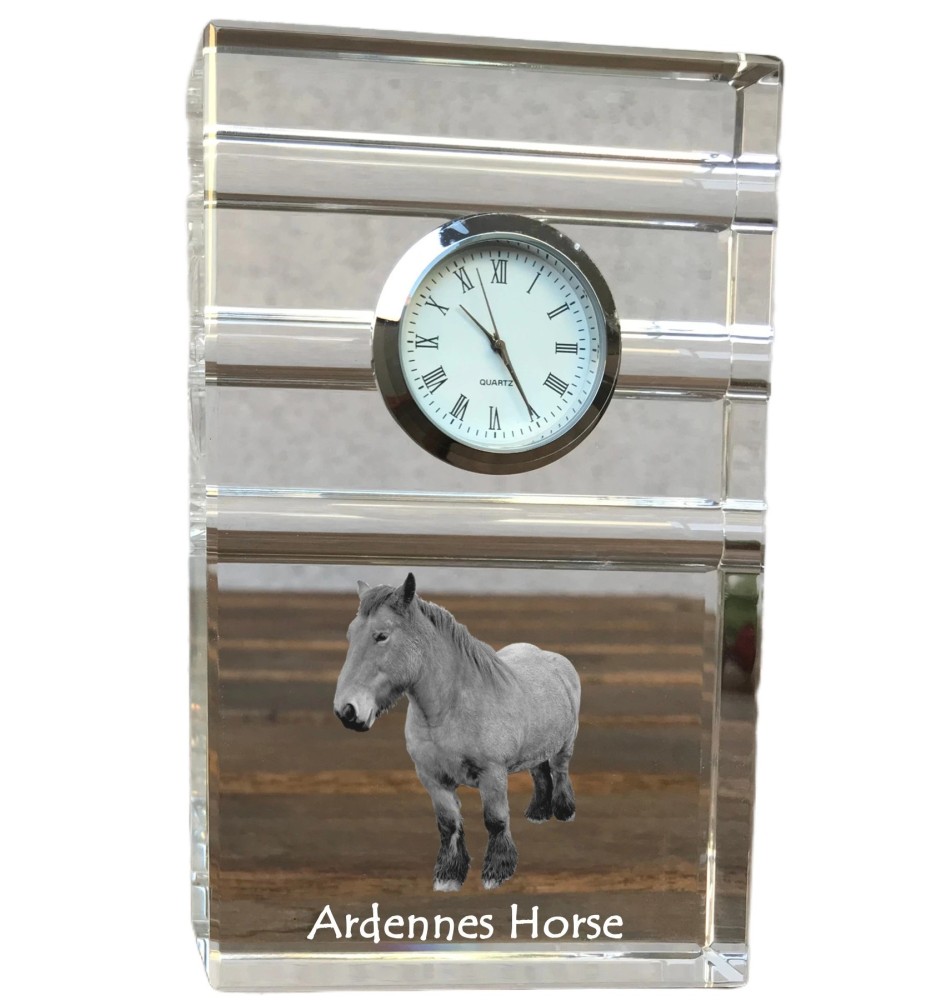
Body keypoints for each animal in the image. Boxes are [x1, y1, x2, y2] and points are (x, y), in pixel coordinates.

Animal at [333, 572, 580, 891]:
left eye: (381, 635)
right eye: (351, 635)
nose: (347, 710)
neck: (448, 711)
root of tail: (557, 660)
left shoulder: (492, 774)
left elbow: (495, 820)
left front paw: (496, 873)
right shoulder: (432, 778)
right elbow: (448, 824)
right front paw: (449, 876)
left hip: (564, 746)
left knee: (560, 772)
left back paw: (564, 812)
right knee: (539, 773)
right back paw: (537, 814)